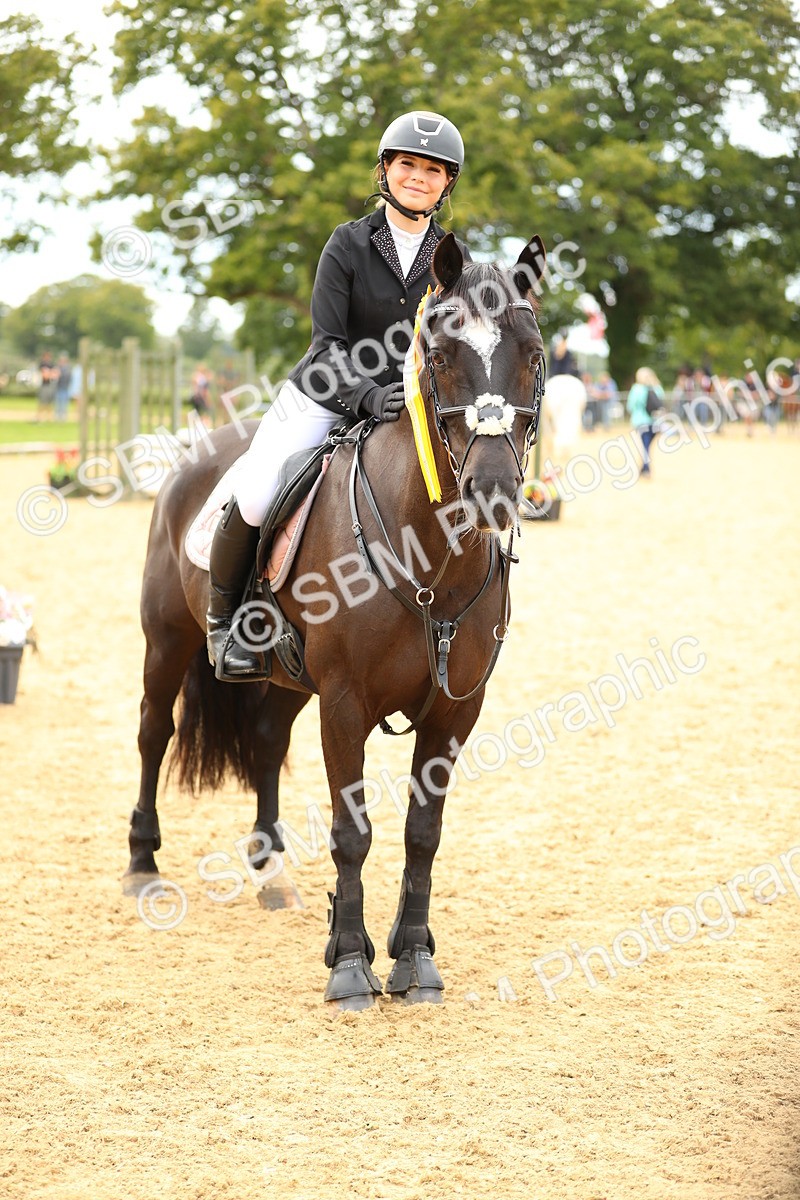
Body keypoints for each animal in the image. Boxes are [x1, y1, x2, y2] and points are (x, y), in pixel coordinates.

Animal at [126, 232, 547, 1009]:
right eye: (441, 354)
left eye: (533, 354)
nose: (494, 491)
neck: (431, 556)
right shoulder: (346, 702)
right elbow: (353, 832)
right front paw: (351, 966)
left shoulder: (454, 710)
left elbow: (422, 833)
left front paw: (414, 959)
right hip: (167, 640)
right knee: (152, 732)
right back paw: (142, 865)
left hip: (288, 680)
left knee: (264, 742)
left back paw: (270, 874)